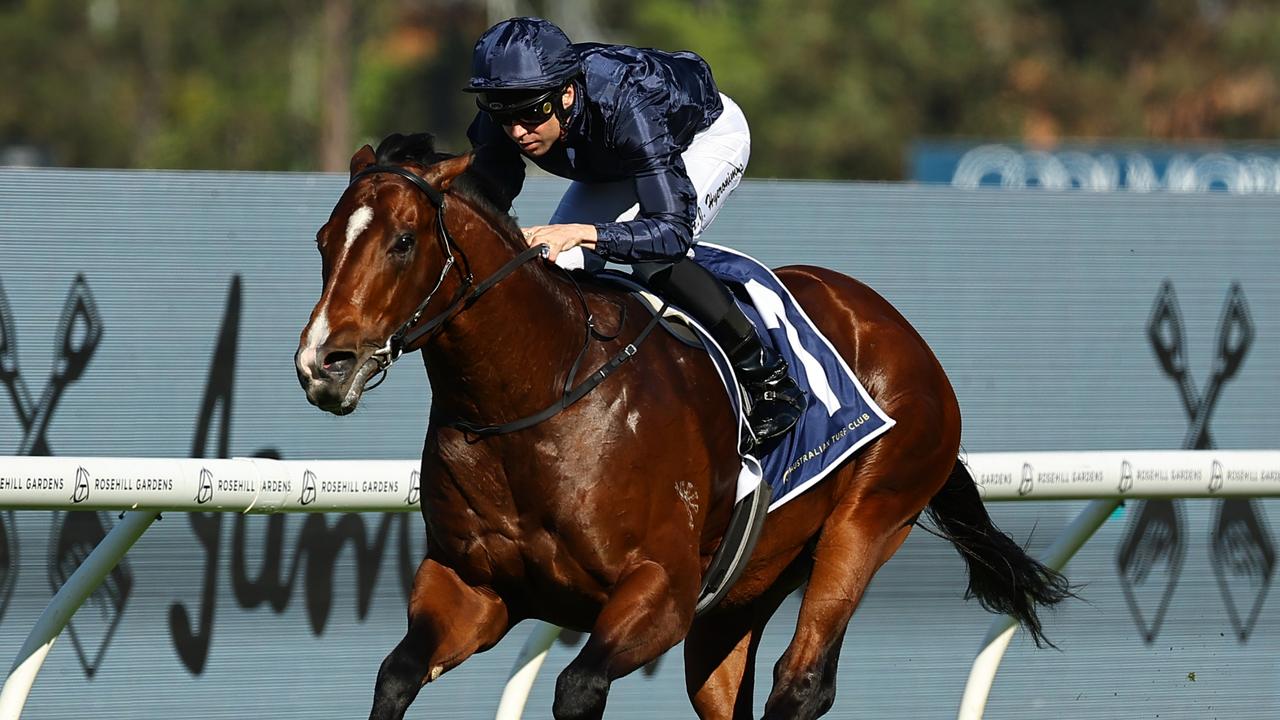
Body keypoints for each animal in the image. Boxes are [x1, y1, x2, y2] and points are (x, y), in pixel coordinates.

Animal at [294, 131, 1064, 712]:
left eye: (402, 240)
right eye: (324, 239)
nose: (323, 362)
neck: (535, 397)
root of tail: (898, 329)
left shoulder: (660, 591)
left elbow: (578, 686)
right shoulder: (474, 588)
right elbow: (395, 676)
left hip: (872, 518)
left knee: (801, 681)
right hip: (745, 588)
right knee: (729, 688)